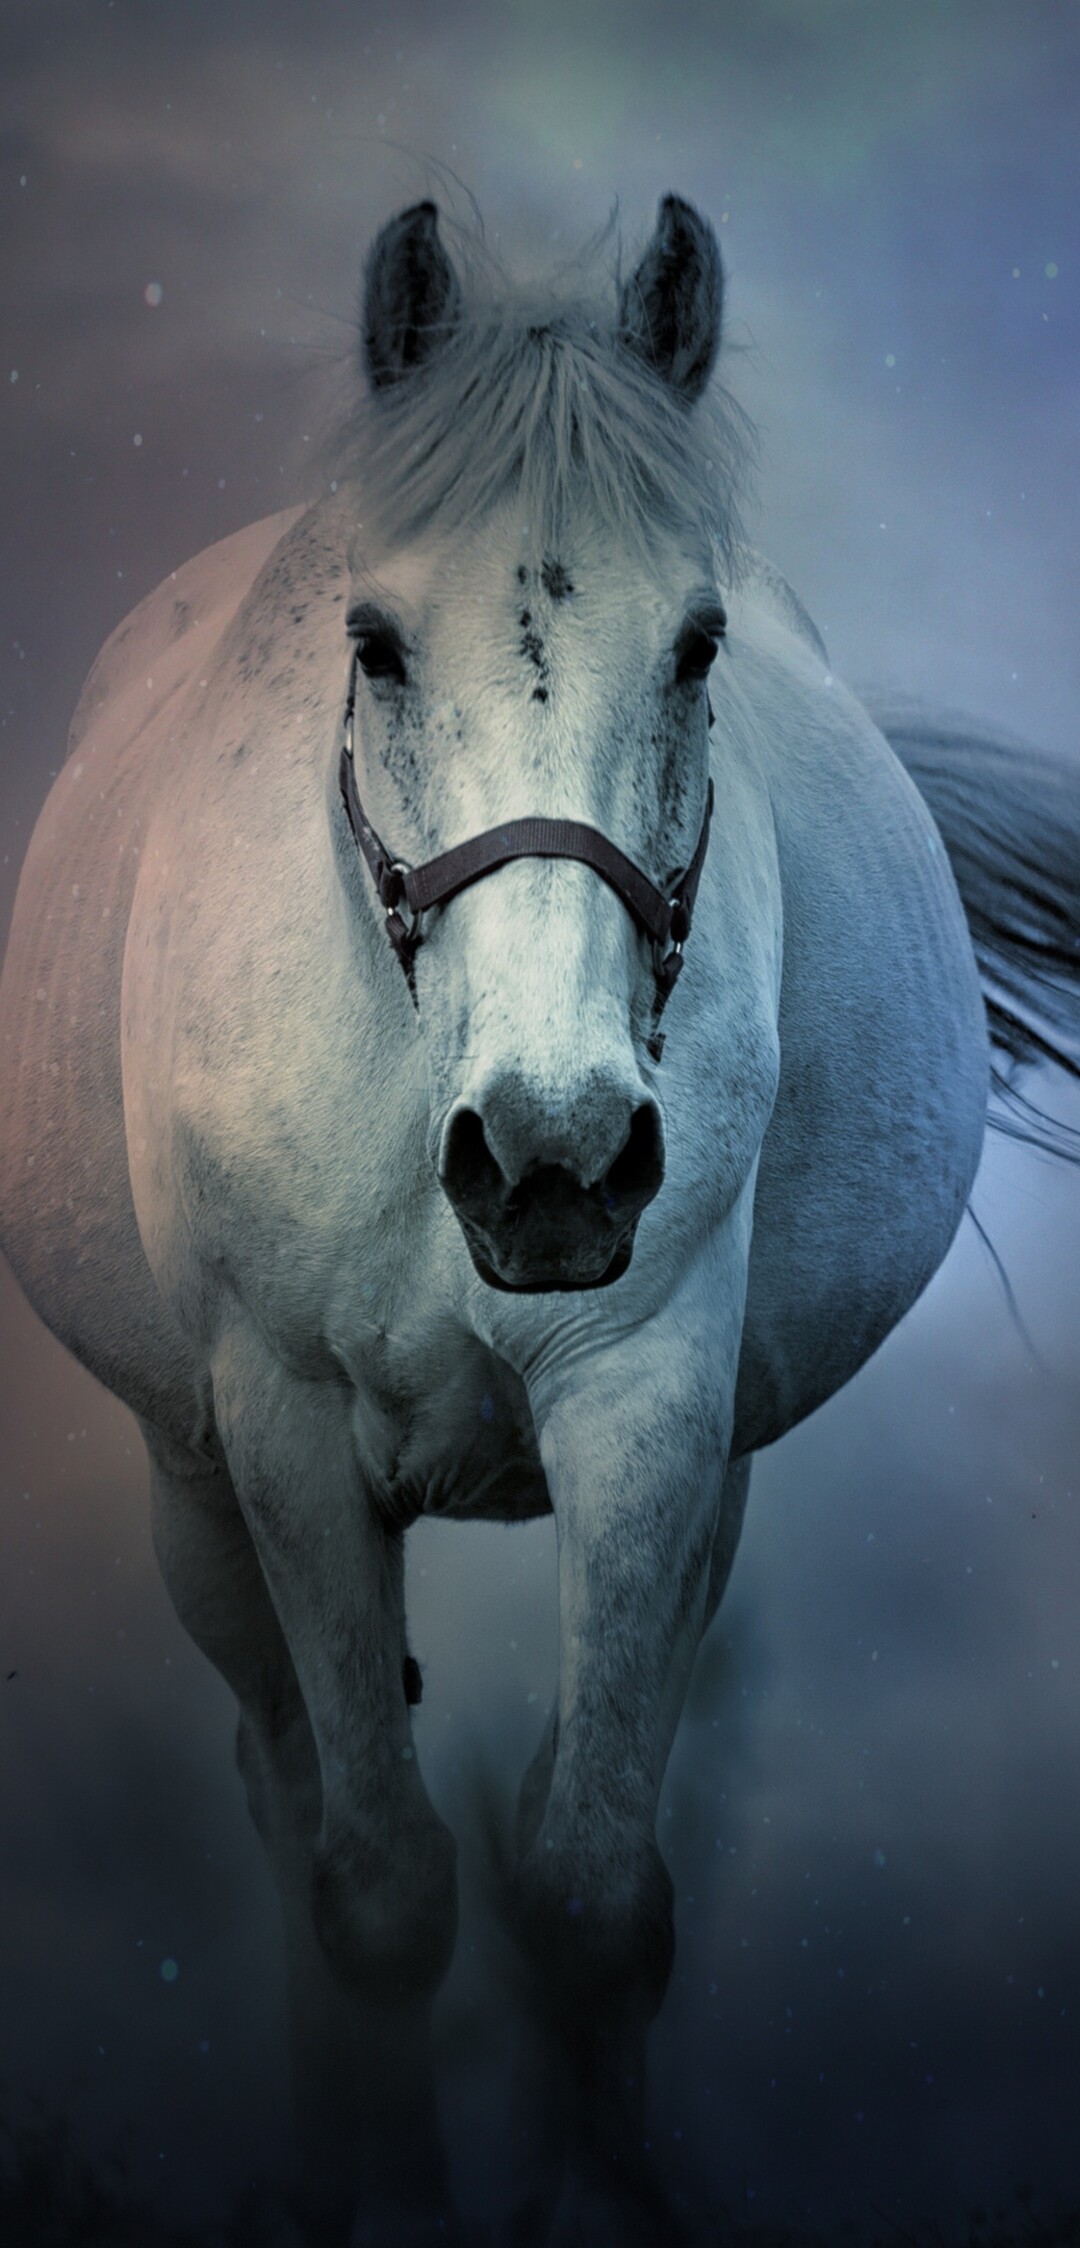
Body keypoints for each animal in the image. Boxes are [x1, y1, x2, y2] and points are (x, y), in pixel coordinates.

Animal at [1, 193, 1078, 2248]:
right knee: (286, 1791)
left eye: (700, 642)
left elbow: (588, 1901)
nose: (554, 1160)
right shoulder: (282, 1438)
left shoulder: (652, 1414)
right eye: (373, 641)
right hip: (190, 1491)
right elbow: (378, 1891)